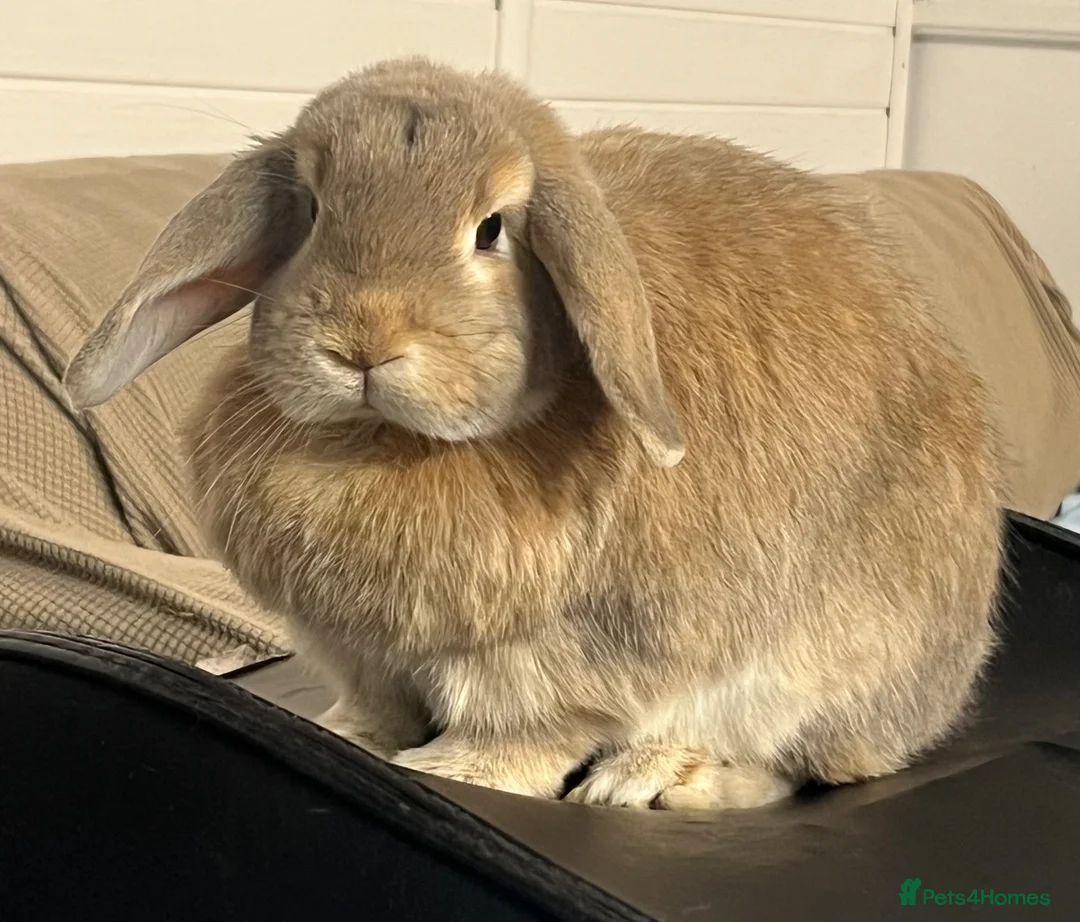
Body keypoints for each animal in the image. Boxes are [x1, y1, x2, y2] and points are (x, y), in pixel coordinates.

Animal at [64, 56, 1003, 811]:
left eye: (492, 230)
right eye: (315, 210)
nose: (363, 340)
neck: (393, 443)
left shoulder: (560, 664)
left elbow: (523, 738)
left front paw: (446, 774)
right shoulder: (364, 658)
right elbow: (372, 708)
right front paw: (343, 737)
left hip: (815, 670)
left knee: (801, 764)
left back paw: (655, 781)